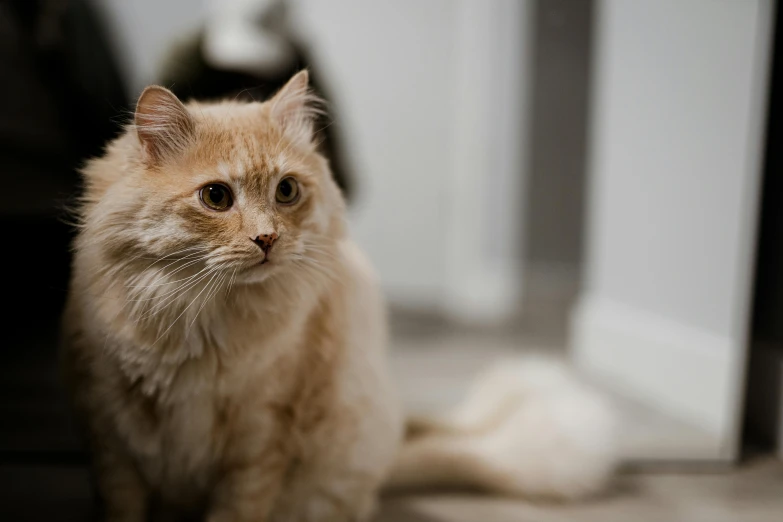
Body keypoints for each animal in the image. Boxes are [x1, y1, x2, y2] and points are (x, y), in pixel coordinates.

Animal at [62, 70, 620, 520]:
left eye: (287, 191)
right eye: (216, 197)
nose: (267, 239)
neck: (196, 320)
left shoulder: (260, 441)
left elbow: (237, 510)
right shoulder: (109, 433)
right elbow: (122, 506)